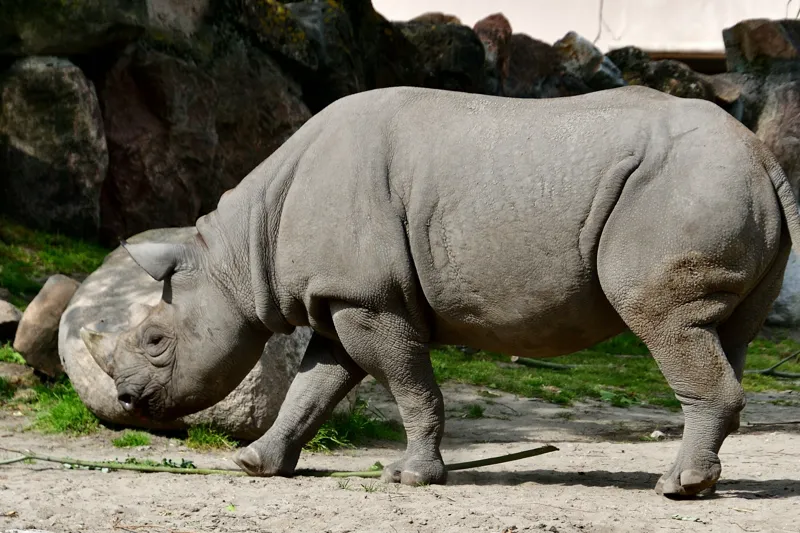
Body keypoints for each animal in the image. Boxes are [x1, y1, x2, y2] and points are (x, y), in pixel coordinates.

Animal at [81, 85, 800, 498]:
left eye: (155, 340)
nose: (128, 400)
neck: (238, 252)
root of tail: (765, 158)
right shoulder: (342, 298)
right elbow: (313, 388)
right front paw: (255, 465)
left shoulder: (368, 300)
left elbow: (408, 385)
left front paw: (410, 478)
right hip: (721, 188)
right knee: (723, 333)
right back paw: (702, 483)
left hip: (682, 190)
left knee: (665, 322)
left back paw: (675, 488)